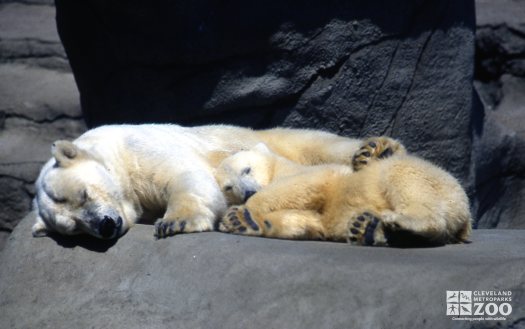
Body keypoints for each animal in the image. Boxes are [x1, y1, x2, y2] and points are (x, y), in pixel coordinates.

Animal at [31, 123, 384, 238]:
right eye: (75, 227)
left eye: (84, 193)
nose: (105, 225)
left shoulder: (136, 149)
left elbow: (182, 175)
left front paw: (174, 222)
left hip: (267, 139)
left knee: (322, 146)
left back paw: (374, 151)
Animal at [215, 138, 472, 246]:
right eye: (228, 187)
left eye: (247, 169)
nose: (246, 192)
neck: (276, 168)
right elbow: (309, 221)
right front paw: (244, 221)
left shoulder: (307, 173)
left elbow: (304, 184)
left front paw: (239, 214)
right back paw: (367, 228)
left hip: (430, 179)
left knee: (403, 180)